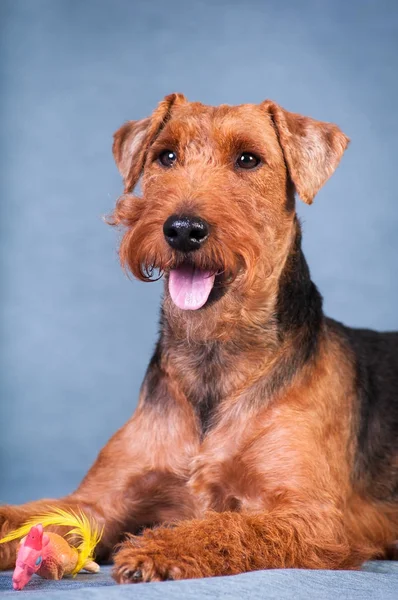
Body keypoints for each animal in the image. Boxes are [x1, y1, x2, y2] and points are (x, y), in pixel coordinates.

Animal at [0, 96, 398, 584]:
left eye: (248, 159)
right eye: (166, 155)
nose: (183, 229)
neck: (212, 359)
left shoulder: (314, 517)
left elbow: (229, 527)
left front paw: (155, 550)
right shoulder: (98, 500)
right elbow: (31, 516)